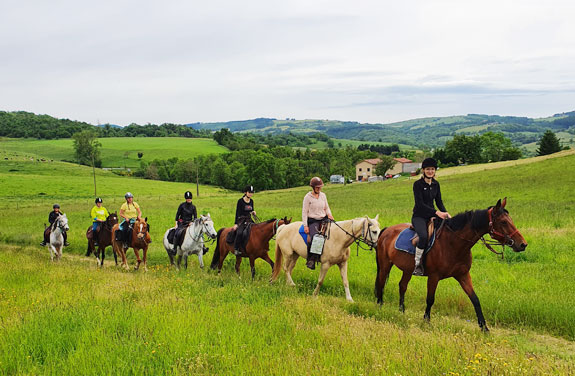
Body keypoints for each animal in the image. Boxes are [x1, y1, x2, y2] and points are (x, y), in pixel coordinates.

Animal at [376, 198, 528, 330]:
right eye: (503, 222)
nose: (523, 244)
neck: (453, 242)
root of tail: (387, 230)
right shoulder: (434, 276)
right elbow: (430, 299)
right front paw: (426, 321)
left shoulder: (463, 275)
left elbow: (475, 299)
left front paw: (484, 328)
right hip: (385, 265)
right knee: (381, 283)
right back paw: (380, 307)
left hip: (407, 269)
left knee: (402, 286)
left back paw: (401, 311)